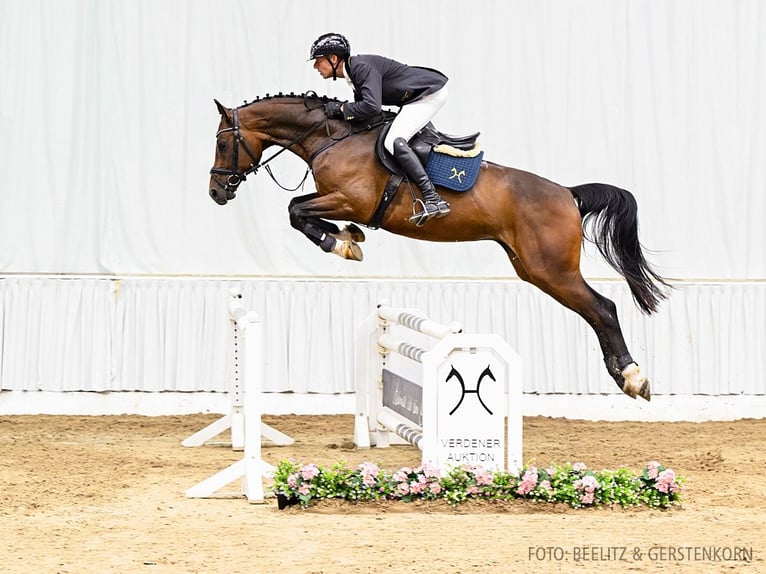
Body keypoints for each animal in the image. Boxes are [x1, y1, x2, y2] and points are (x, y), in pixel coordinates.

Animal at [210, 92, 672, 402]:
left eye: (221, 143)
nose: (216, 192)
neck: (333, 137)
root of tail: (567, 193)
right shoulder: (338, 200)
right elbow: (299, 211)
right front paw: (348, 239)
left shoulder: (350, 200)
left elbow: (295, 210)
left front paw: (340, 243)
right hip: (531, 268)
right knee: (595, 311)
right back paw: (625, 376)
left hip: (552, 270)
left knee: (602, 309)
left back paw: (633, 377)